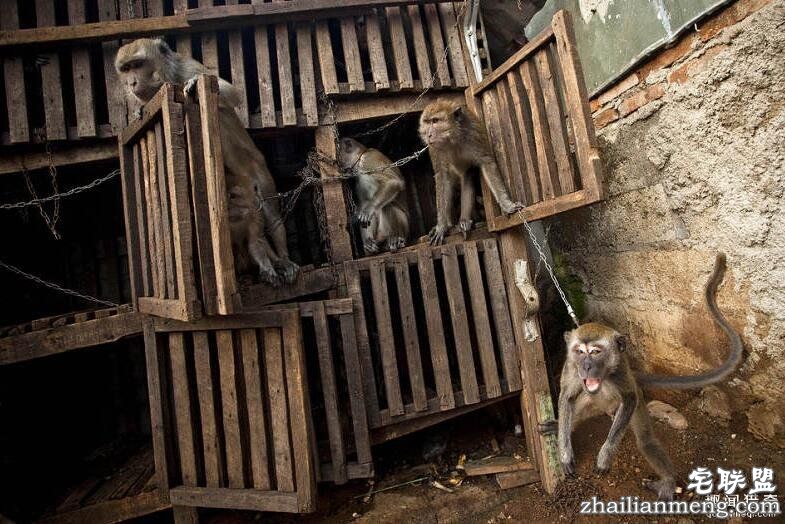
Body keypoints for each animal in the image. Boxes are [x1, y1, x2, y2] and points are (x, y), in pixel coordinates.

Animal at [115, 38, 298, 286]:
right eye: (125, 69)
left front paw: (195, 84)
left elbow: (230, 93)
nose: (131, 82)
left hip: (259, 171)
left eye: (137, 64)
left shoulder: (187, 68)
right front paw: (138, 112)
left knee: (271, 215)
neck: (169, 77)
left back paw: (283, 258)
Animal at [418, 99, 524, 245]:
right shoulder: (434, 149)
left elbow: (486, 162)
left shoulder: (474, 134)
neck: (452, 137)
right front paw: (441, 226)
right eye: (427, 122)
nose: (428, 135)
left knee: (468, 174)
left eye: (435, 121)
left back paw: (464, 220)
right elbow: (442, 177)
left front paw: (507, 204)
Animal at [557, 253, 743, 501]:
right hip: (592, 400)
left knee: (646, 441)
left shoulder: (621, 374)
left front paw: (605, 455)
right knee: (578, 407)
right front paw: (565, 452)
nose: (586, 367)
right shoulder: (570, 368)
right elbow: (566, 397)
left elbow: (629, 398)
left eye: (595, 352)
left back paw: (667, 482)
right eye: (579, 351)